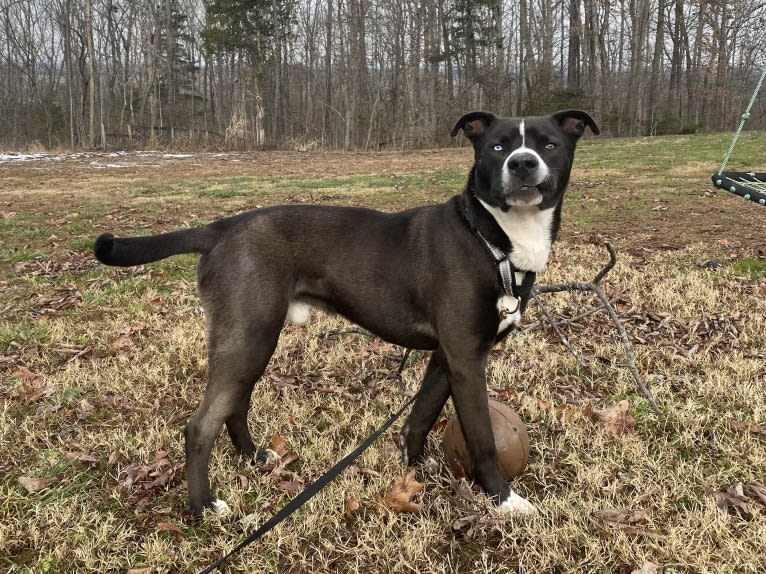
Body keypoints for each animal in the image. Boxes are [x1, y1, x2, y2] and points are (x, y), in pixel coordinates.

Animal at [94, 110, 600, 520]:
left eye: (548, 144)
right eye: (497, 146)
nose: (522, 163)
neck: (491, 238)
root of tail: (221, 228)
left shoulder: (447, 357)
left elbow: (419, 417)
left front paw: (414, 471)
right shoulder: (466, 360)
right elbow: (482, 439)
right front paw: (503, 500)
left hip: (254, 337)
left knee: (235, 405)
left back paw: (254, 458)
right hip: (248, 335)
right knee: (200, 426)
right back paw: (203, 508)